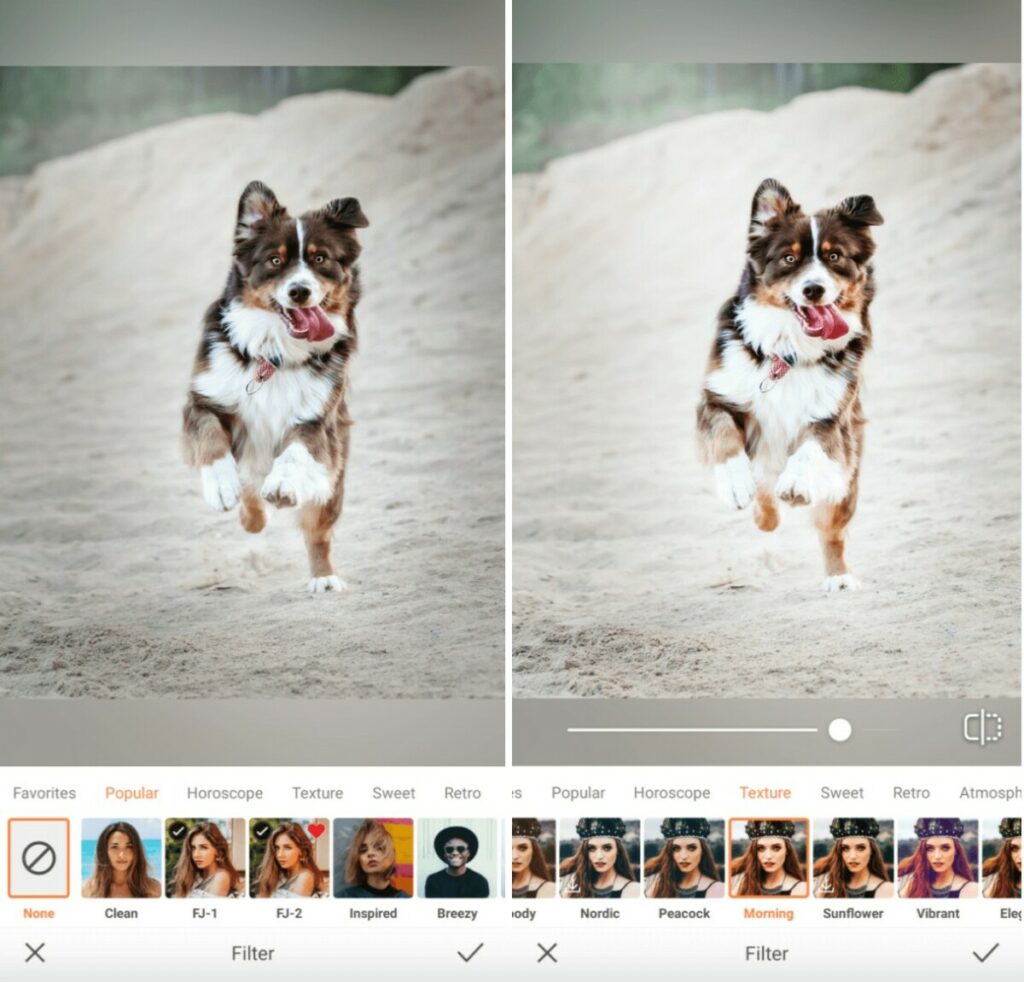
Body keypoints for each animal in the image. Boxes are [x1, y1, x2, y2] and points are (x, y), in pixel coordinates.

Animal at [183, 178, 368, 589]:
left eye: (320, 259)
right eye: (275, 261)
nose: (299, 291)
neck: (274, 353)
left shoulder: (318, 420)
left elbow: (295, 452)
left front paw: (282, 485)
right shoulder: (204, 399)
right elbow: (210, 439)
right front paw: (222, 485)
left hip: (333, 477)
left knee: (318, 531)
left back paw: (324, 578)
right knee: (250, 489)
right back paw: (249, 512)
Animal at [696, 177, 880, 589]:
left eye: (834, 257)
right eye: (789, 259)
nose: (814, 289)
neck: (788, 351)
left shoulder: (832, 419)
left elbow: (810, 449)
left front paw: (795, 484)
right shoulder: (718, 397)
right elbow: (724, 438)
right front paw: (736, 484)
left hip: (846, 477)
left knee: (831, 531)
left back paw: (838, 576)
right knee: (764, 493)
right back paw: (762, 510)